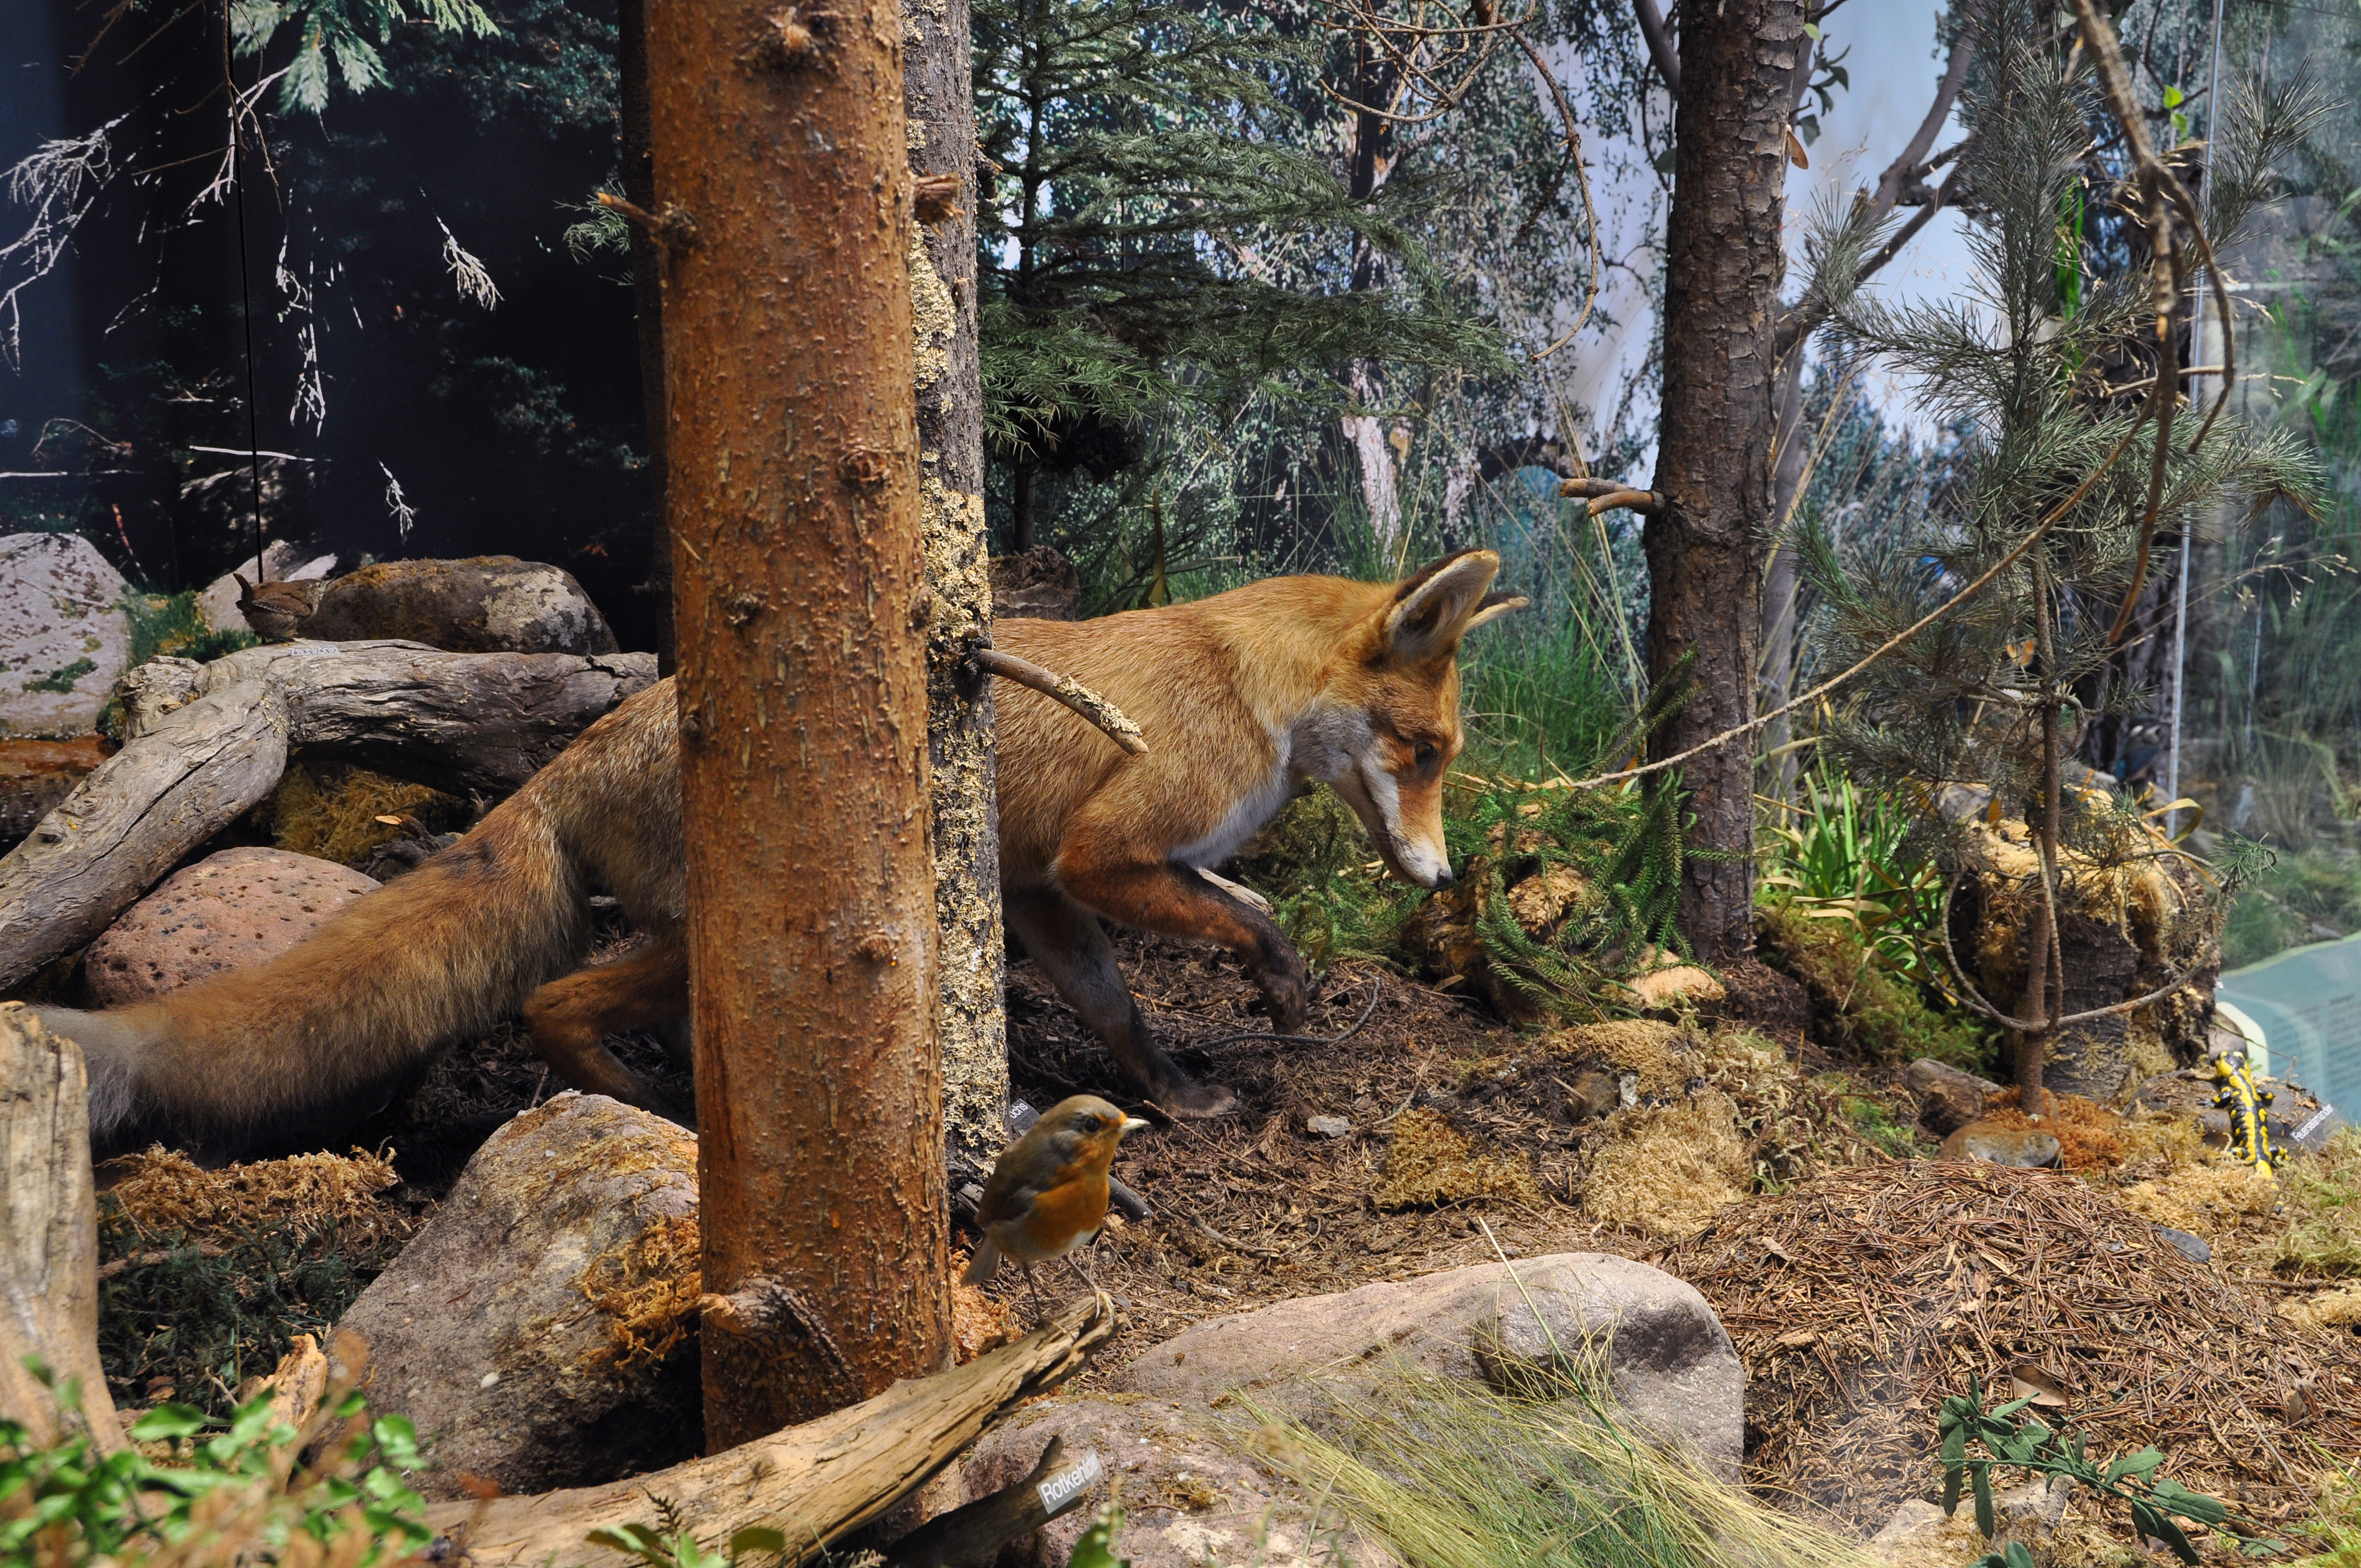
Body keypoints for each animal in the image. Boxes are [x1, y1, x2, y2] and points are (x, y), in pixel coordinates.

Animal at [32, 549, 1522, 1148]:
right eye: (1427, 752)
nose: (1445, 878)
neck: (1245, 687)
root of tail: (584, 743)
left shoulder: (1039, 889)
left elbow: (1123, 1004)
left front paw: (1174, 1090)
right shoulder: (1107, 854)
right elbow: (1249, 918)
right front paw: (1278, 990)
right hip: (706, 931)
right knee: (550, 996)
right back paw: (650, 1107)